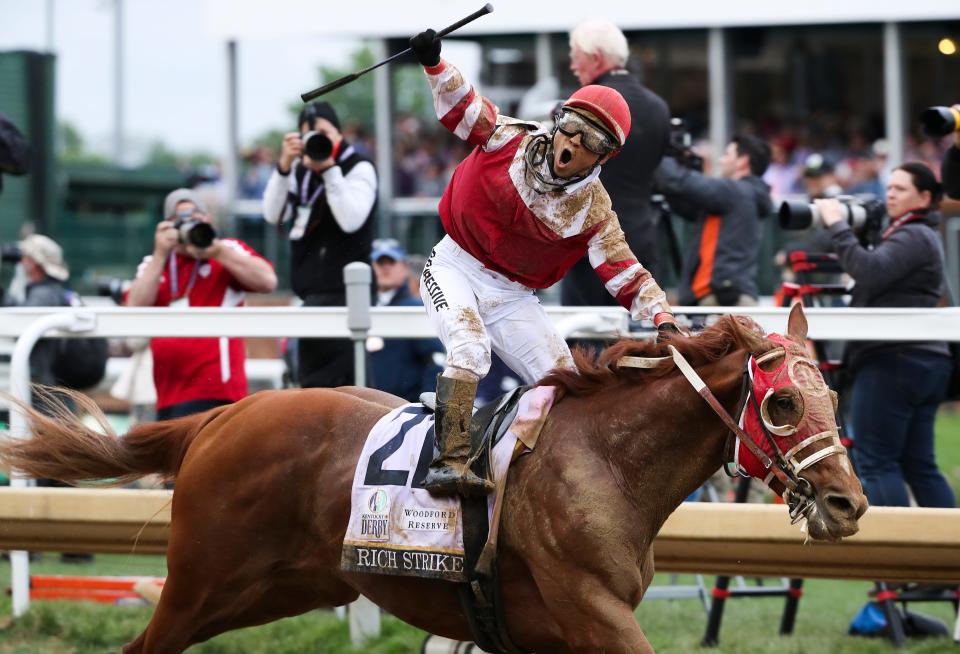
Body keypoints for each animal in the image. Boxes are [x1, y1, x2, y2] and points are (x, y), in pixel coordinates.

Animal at [0, 308, 868, 654]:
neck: (608, 463)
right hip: (200, 582)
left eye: (833, 395)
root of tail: (223, 416)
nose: (849, 503)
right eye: (784, 403)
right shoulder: (594, 613)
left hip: (274, 589)